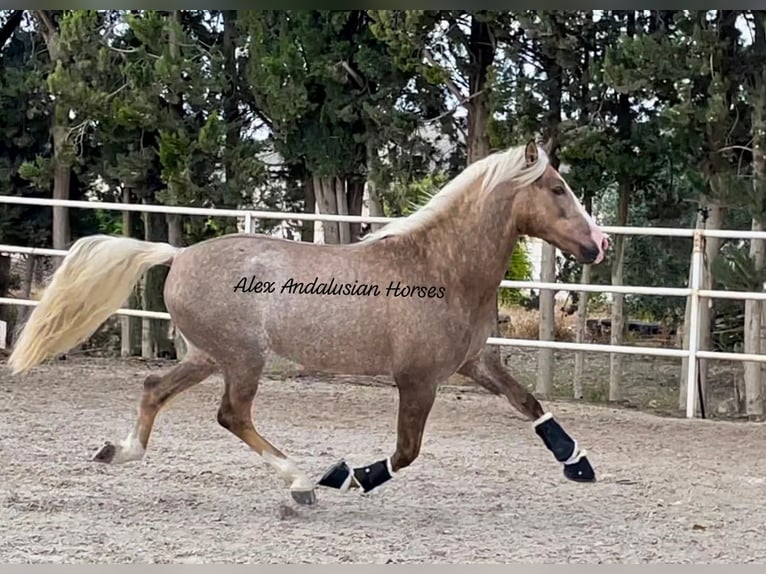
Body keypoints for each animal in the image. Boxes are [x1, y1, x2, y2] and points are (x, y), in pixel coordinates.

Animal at [4, 140, 608, 508]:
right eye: (557, 188)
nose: (599, 245)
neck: (440, 268)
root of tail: (178, 255)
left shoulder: (471, 361)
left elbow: (526, 402)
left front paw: (577, 463)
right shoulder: (418, 379)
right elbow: (407, 450)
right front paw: (349, 474)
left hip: (207, 355)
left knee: (155, 388)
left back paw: (119, 452)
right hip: (243, 358)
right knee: (231, 414)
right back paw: (301, 482)